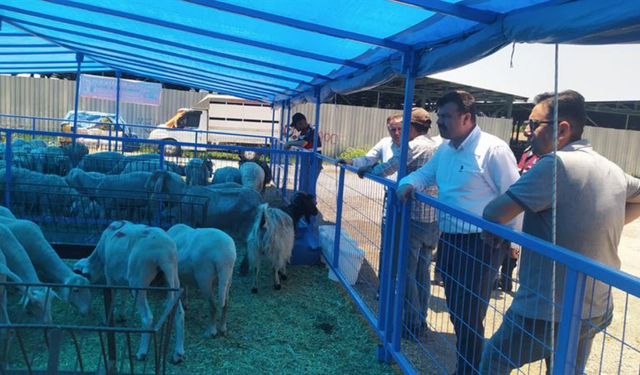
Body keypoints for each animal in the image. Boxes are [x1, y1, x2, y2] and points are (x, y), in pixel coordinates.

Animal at [75, 222, 186, 366]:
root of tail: (164, 254)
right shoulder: (124, 279)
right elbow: (123, 295)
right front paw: (121, 315)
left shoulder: (110, 275)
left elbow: (111, 297)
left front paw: (107, 320)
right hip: (173, 279)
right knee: (179, 313)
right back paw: (178, 354)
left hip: (138, 279)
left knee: (147, 317)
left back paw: (142, 352)